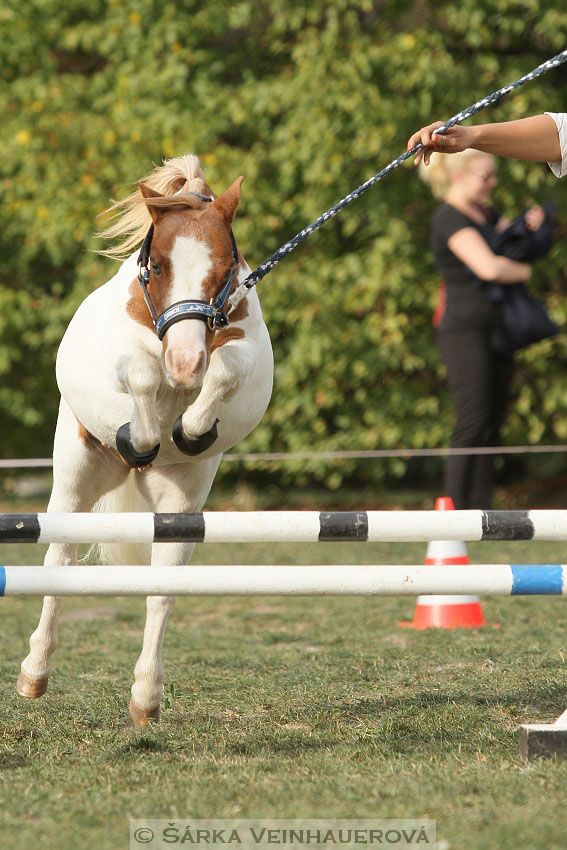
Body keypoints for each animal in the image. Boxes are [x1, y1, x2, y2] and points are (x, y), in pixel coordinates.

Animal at [16, 156, 274, 724]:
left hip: (181, 505)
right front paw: (145, 430)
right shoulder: (128, 352)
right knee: (58, 565)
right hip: (74, 481)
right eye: (156, 267)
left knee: (162, 591)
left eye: (226, 271)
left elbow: (227, 367)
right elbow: (140, 371)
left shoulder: (239, 347)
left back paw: (145, 698)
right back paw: (34, 674)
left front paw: (192, 426)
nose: (185, 363)